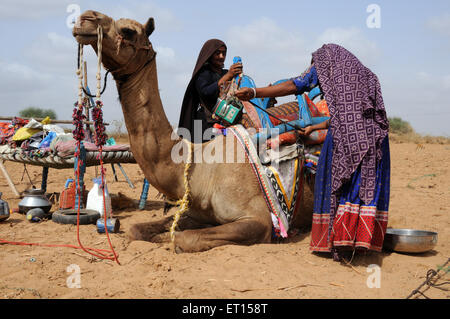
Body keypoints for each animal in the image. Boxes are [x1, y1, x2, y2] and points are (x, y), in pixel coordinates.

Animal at [73, 11, 312, 254]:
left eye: (128, 31)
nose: (86, 18)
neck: (201, 165)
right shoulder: (195, 213)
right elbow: (136, 230)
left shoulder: (259, 221)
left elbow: (184, 239)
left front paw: (167, 239)